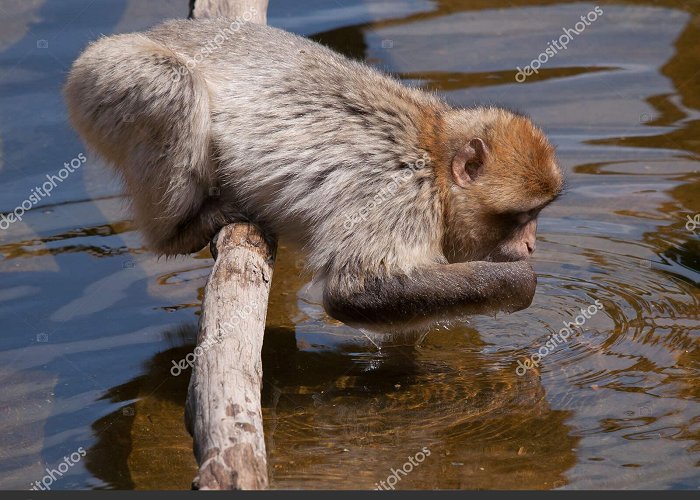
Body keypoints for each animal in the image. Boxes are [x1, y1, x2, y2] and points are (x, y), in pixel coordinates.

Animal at [65, 17, 564, 326]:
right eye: (522, 217)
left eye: (538, 215)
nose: (531, 244)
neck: (435, 156)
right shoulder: (401, 191)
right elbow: (356, 288)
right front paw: (518, 282)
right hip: (108, 78)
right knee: (173, 84)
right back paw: (177, 232)